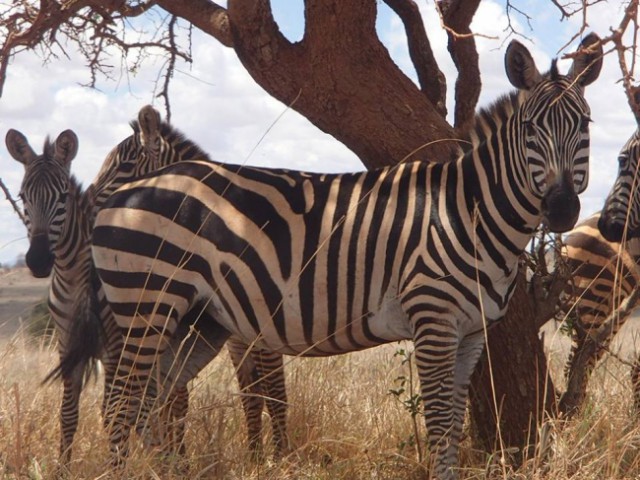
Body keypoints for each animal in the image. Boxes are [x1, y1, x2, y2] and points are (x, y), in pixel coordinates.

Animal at [3, 109, 288, 468]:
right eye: (22, 197)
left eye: (63, 197)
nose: (38, 261)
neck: (73, 277)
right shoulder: (67, 343)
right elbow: (69, 412)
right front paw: (63, 468)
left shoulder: (117, 343)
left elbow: (116, 409)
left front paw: (129, 462)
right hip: (231, 336)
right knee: (248, 392)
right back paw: (249, 457)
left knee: (272, 388)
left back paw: (274, 457)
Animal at [82, 35, 604, 478]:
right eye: (531, 129)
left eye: (585, 125)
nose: (562, 209)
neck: (466, 213)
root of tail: (123, 197)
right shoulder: (433, 322)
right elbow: (438, 423)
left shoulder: (471, 331)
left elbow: (454, 424)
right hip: (147, 304)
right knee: (122, 403)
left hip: (198, 321)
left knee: (152, 396)